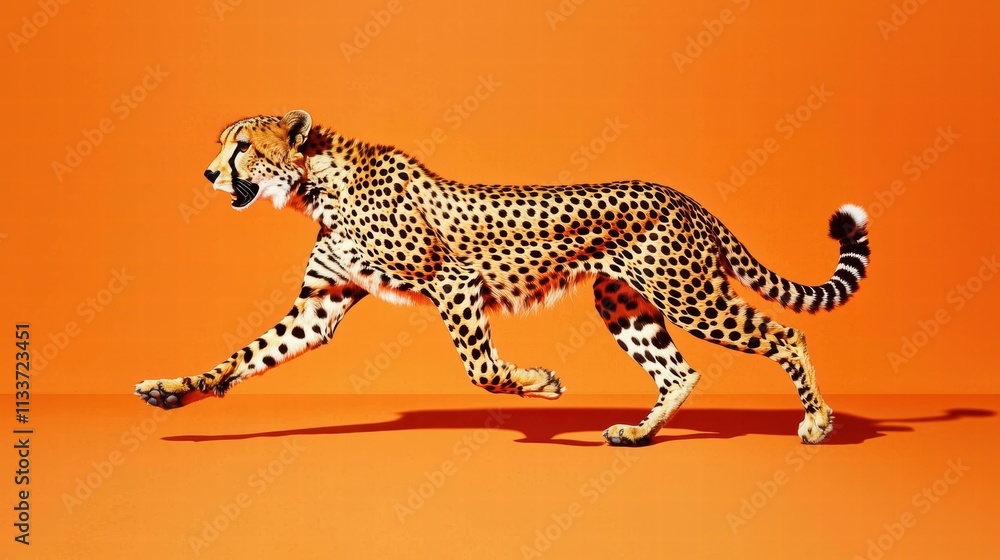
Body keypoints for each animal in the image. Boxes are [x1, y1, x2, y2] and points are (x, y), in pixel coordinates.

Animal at [135, 110, 871, 446]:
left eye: (241, 145)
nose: (208, 173)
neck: (315, 182)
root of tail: (686, 197)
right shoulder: (320, 304)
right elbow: (242, 357)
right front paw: (173, 392)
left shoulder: (454, 282)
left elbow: (480, 367)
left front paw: (539, 384)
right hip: (623, 303)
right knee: (679, 371)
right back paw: (638, 433)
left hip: (688, 295)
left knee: (784, 334)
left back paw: (817, 422)